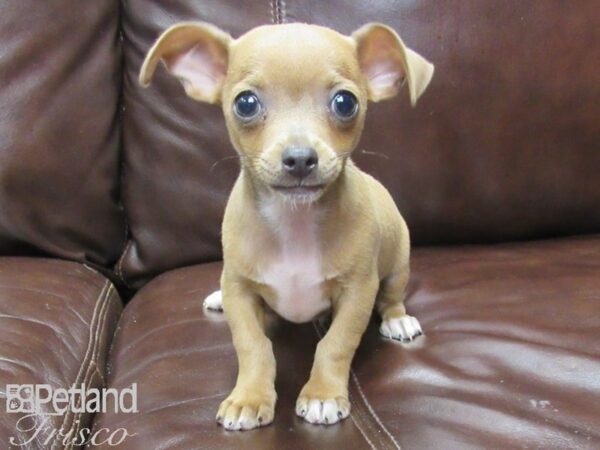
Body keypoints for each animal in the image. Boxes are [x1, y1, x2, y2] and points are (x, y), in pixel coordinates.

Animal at [139, 22, 434, 432]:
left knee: (392, 298)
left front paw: (323, 395)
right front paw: (249, 398)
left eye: (346, 103)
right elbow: (252, 346)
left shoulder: (358, 293)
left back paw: (398, 321)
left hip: (397, 267)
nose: (299, 158)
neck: (294, 223)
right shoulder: (241, 292)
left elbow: (335, 344)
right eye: (245, 103)